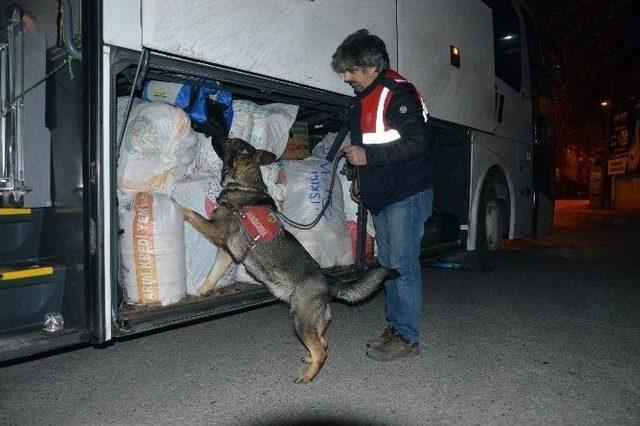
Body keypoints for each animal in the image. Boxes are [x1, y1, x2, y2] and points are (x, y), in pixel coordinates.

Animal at [178, 136, 398, 382]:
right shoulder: (226, 251)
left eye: (229, 139)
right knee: (324, 343)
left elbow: (190, 212)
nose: (210, 134)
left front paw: (172, 203)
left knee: (321, 350)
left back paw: (308, 375)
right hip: (312, 322)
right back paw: (310, 361)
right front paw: (202, 292)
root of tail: (327, 281)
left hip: (300, 320)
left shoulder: (215, 230)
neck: (243, 185)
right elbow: (212, 275)